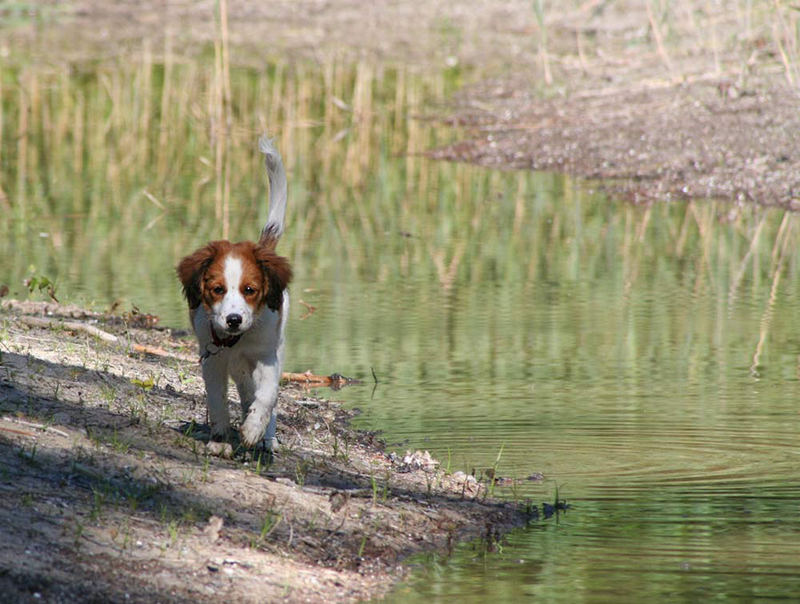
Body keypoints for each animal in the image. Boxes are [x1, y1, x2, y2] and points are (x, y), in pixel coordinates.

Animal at [178, 137, 294, 448]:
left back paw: (266, 437)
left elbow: (267, 396)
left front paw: (254, 429)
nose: (233, 320)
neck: (235, 341)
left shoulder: (267, 356)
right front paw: (221, 438)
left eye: (250, 290)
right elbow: (217, 399)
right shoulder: (213, 360)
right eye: (217, 289)